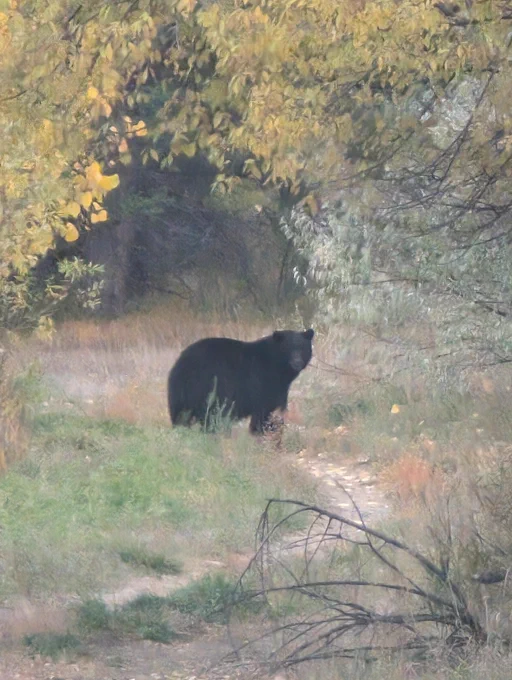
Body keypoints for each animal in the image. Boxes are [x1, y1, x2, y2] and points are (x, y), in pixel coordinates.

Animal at [168, 328, 314, 434]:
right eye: (288, 348)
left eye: (302, 347)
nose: (297, 362)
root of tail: (182, 364)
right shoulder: (264, 380)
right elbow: (267, 409)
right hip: (209, 387)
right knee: (212, 415)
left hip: (180, 394)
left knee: (180, 415)